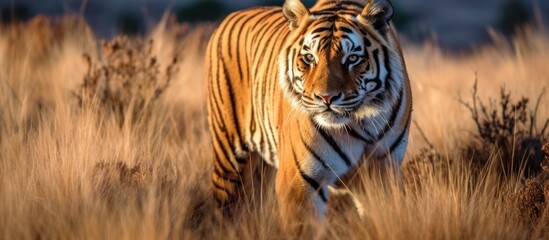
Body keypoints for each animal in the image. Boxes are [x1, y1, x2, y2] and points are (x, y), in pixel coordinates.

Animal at [206, 0, 412, 232]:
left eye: (352, 58)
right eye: (309, 58)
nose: (326, 98)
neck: (360, 123)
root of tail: (230, 17)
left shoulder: (383, 175)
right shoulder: (299, 182)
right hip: (229, 159)